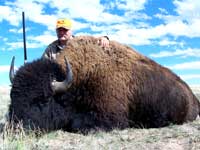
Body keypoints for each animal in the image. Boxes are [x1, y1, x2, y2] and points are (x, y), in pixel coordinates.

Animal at [9, 35, 200, 133]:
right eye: (12, 97)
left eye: (44, 100)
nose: (15, 127)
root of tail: (193, 99)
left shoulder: (109, 118)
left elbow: (78, 124)